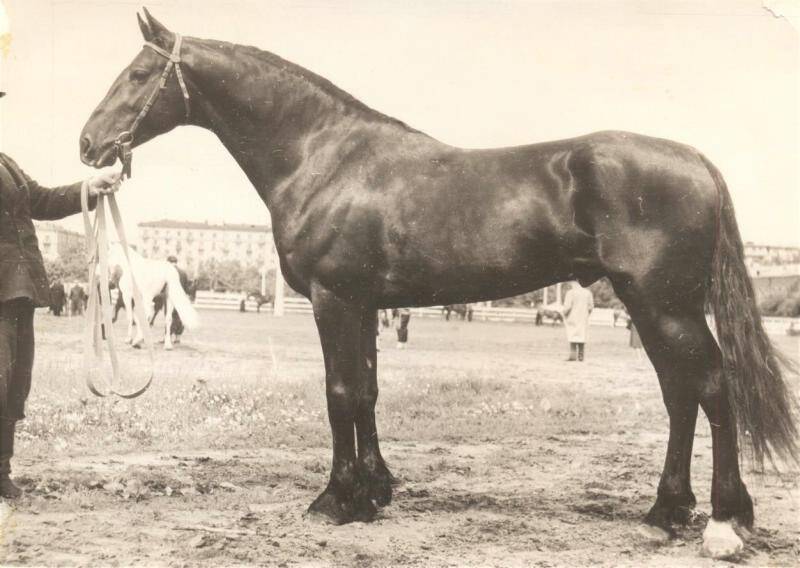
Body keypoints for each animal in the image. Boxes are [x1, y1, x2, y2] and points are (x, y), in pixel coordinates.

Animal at [78, 10, 796, 560]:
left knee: (712, 388)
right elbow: (367, 392)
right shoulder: (367, 306)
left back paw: (723, 522)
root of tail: (694, 159)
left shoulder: (335, 301)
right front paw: (375, 492)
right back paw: (666, 510)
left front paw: (335, 499)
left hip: (665, 305)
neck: (323, 158)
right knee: (681, 396)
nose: (89, 144)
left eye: (138, 74)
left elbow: (340, 394)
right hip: (649, 307)